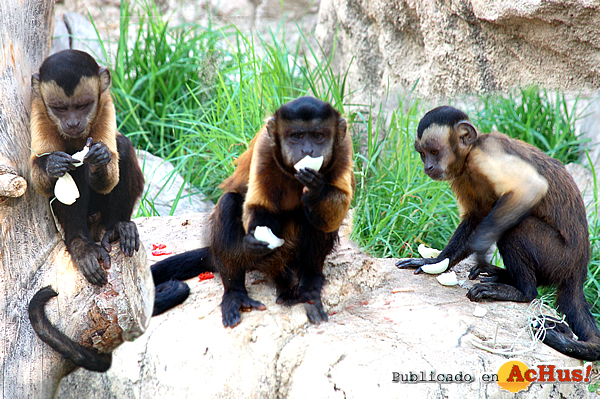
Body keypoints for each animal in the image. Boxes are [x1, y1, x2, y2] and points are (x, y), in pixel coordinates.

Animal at [28, 49, 145, 372]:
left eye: (82, 105)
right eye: (60, 108)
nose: (73, 123)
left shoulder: (106, 103)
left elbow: (112, 163)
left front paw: (101, 158)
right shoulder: (38, 109)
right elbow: (39, 175)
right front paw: (52, 165)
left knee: (123, 146)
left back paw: (117, 228)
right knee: (73, 176)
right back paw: (80, 243)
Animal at [152, 97, 354, 328]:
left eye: (318, 136)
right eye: (297, 136)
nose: (308, 150)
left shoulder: (344, 146)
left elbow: (337, 210)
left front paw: (315, 189)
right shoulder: (265, 146)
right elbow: (258, 206)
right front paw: (255, 242)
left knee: (314, 218)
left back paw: (309, 283)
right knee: (229, 202)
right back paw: (238, 291)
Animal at [398, 106, 600, 362]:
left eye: (434, 152)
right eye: (422, 154)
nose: (428, 167)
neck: (469, 156)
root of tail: (579, 269)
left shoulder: (487, 153)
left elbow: (529, 188)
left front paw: (481, 247)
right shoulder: (463, 175)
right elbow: (476, 216)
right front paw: (435, 261)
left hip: (559, 258)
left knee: (517, 227)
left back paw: (522, 291)